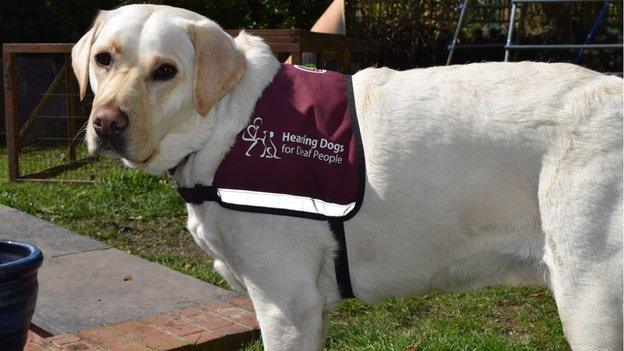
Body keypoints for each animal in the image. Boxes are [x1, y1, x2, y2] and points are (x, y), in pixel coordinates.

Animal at [75, 3, 620, 351]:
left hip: (590, 298)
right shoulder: (307, 312)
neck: (227, 125)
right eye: (103, 59)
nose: (106, 124)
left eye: (165, 71)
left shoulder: (286, 305)